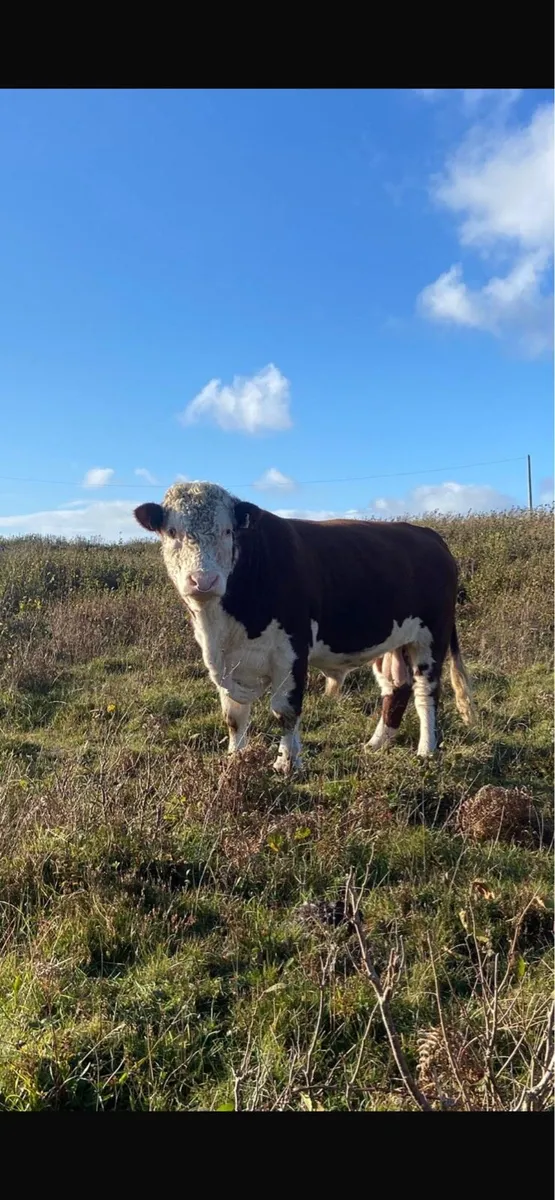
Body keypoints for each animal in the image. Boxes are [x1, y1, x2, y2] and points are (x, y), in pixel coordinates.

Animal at [134, 481, 475, 773]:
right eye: (172, 531)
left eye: (227, 530)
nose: (203, 580)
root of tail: (427, 534)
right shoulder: (225, 661)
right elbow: (234, 716)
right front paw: (235, 759)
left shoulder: (292, 649)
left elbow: (285, 710)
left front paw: (286, 764)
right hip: (390, 640)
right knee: (396, 689)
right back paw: (376, 744)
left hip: (431, 636)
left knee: (426, 690)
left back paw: (427, 750)